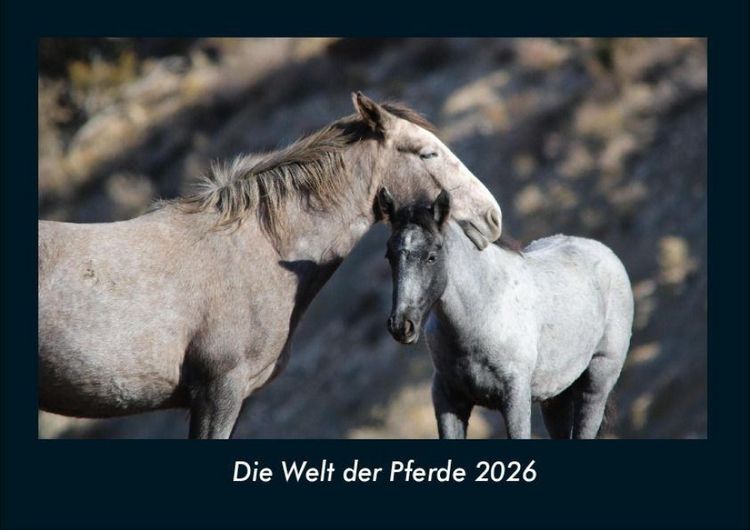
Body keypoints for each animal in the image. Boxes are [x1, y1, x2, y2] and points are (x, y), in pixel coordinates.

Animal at [379, 189, 633, 439]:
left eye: (431, 256)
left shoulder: (515, 401)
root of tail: (606, 254)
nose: (402, 325)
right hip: (555, 396)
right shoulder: (448, 400)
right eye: (389, 256)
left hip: (596, 383)